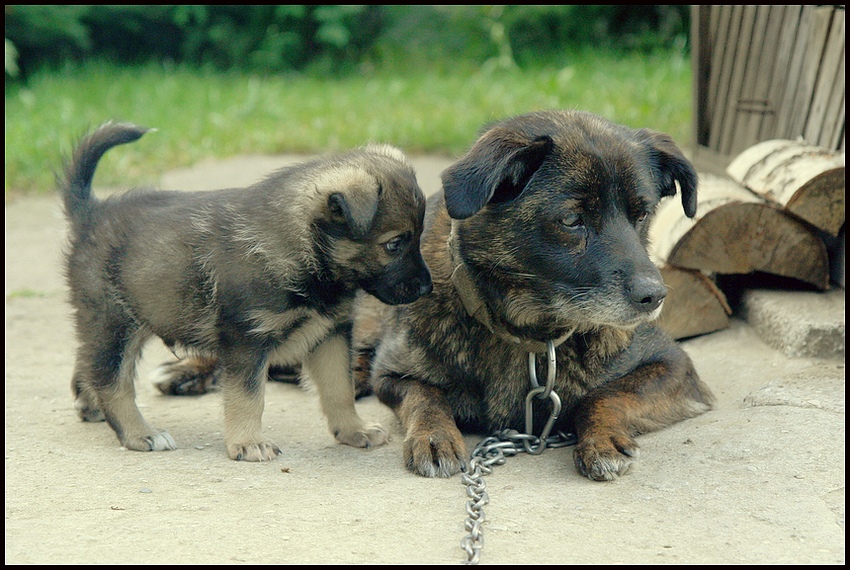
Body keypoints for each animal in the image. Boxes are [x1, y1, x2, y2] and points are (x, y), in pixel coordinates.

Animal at [60, 122, 430, 460]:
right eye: (394, 244)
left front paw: (354, 430)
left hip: (133, 316)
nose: (427, 287)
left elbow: (339, 387)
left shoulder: (331, 333)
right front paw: (248, 442)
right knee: (112, 381)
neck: (304, 254)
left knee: (88, 361)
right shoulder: (247, 339)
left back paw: (91, 406)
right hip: (114, 319)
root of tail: (91, 212)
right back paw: (140, 434)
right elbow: (248, 397)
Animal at [354, 108, 712, 478]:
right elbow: (425, 396)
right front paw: (434, 435)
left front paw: (601, 439)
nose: (654, 296)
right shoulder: (392, 374)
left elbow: (604, 395)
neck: (531, 333)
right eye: (571, 219)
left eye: (642, 214)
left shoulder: (674, 366)